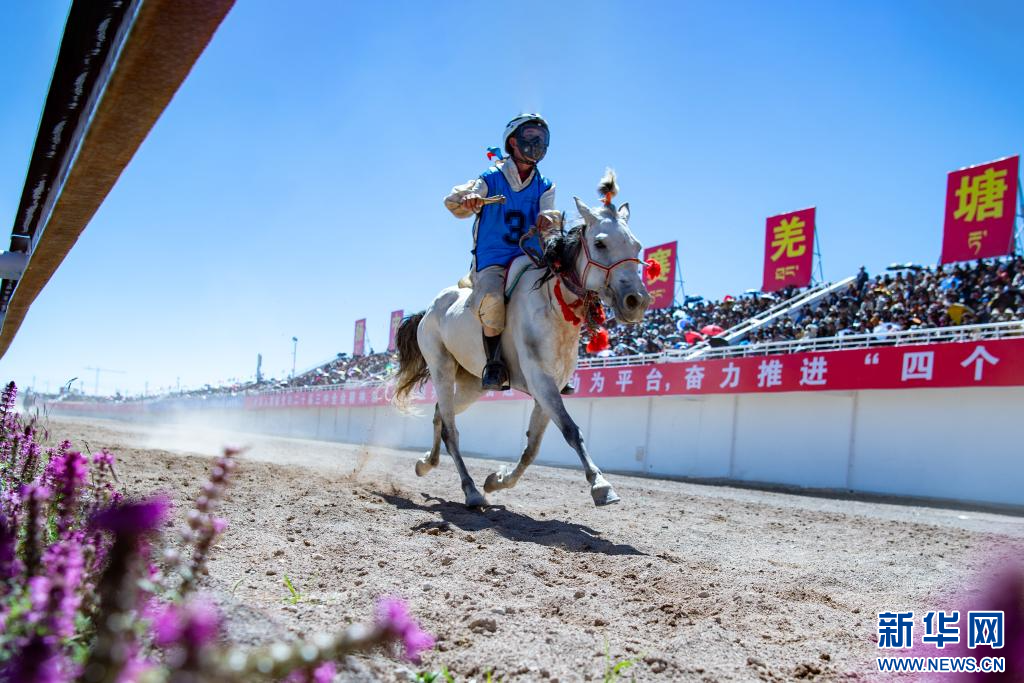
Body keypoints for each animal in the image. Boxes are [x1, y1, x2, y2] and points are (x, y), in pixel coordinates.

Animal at [391, 172, 647, 507]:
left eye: (637, 245)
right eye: (600, 243)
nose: (636, 301)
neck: (554, 305)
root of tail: (429, 310)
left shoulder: (550, 386)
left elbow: (533, 447)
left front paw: (497, 480)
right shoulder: (540, 379)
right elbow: (571, 431)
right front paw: (601, 485)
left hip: (473, 384)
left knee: (439, 416)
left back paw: (427, 463)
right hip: (441, 367)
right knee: (450, 429)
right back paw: (471, 491)